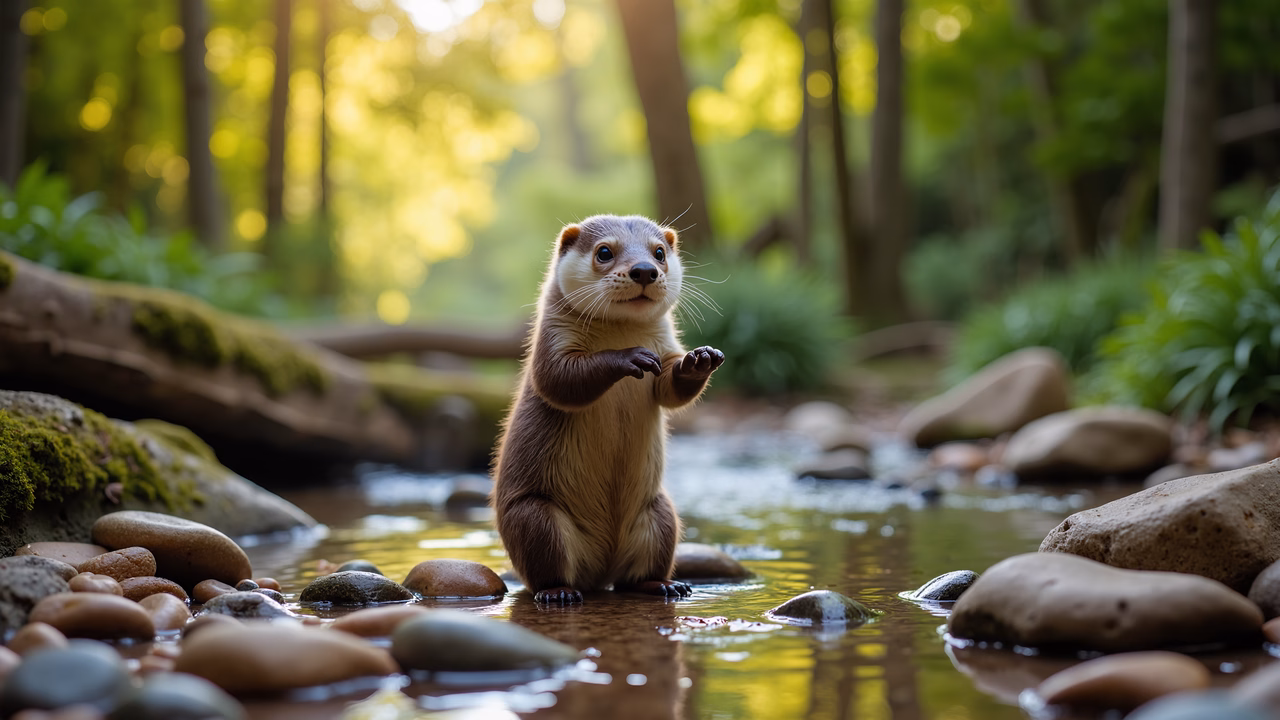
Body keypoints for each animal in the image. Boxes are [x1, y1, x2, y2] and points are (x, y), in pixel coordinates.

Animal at [492, 214, 724, 604]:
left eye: (658, 253)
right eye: (604, 252)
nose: (644, 270)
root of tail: (601, 572)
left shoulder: (667, 347)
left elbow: (672, 391)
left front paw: (699, 360)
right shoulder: (553, 346)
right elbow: (560, 381)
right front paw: (629, 357)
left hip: (660, 514)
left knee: (634, 577)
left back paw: (665, 585)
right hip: (534, 517)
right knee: (544, 573)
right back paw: (559, 593)